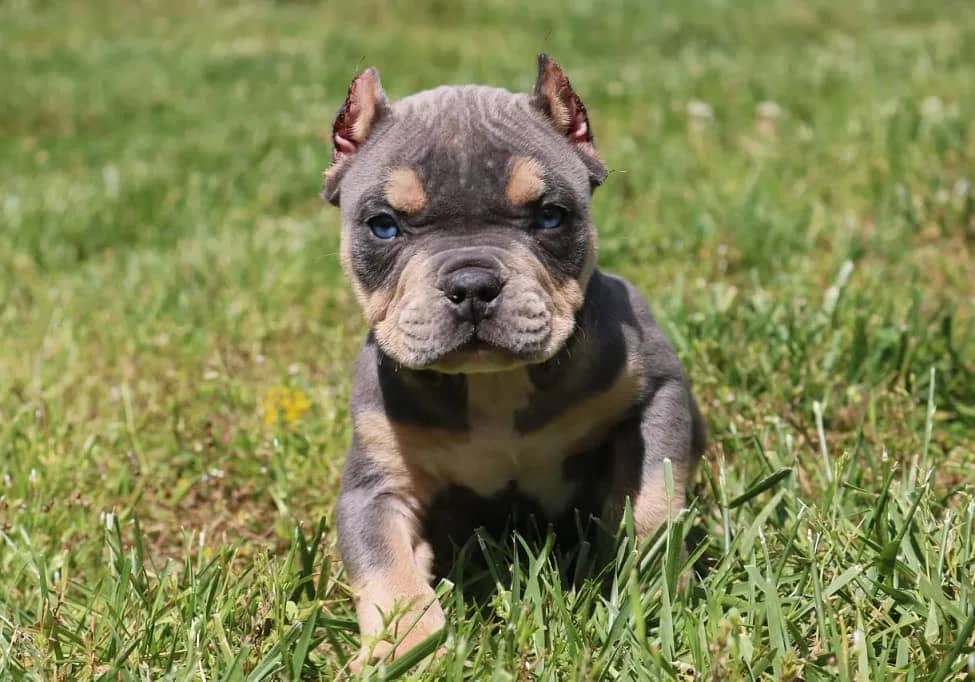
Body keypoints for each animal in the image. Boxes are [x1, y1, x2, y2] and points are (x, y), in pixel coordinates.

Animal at [324, 54, 704, 664]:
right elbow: (387, 568)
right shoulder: (375, 488)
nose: (473, 284)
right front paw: (407, 648)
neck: (492, 384)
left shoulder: (656, 392)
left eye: (550, 217)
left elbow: (650, 499)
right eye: (384, 225)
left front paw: (649, 589)